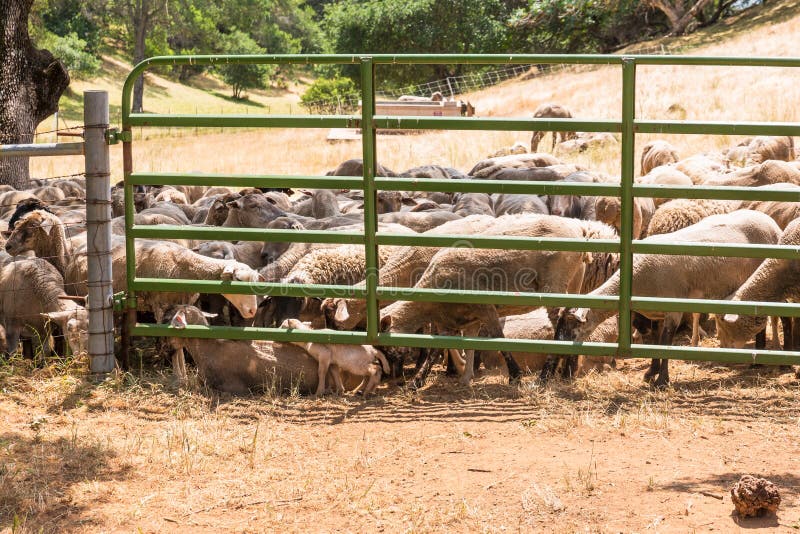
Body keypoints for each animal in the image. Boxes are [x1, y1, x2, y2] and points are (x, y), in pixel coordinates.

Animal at [548, 210, 780, 390]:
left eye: (570, 325)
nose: (555, 349)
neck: (636, 275)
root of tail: (770, 221)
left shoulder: (673, 309)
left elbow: (666, 343)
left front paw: (662, 380)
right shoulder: (657, 311)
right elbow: (655, 341)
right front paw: (652, 371)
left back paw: (758, 358)